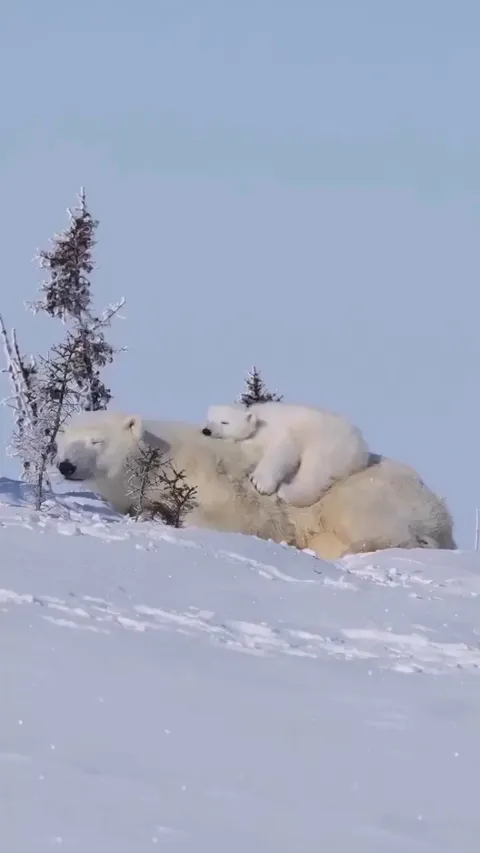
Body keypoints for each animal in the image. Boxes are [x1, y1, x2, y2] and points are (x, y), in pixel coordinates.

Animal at [202, 402, 370, 507]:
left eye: (224, 422)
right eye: (209, 419)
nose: (206, 430)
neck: (259, 418)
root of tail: (361, 448)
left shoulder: (279, 430)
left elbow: (282, 450)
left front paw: (260, 483)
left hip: (328, 444)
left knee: (314, 471)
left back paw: (286, 492)